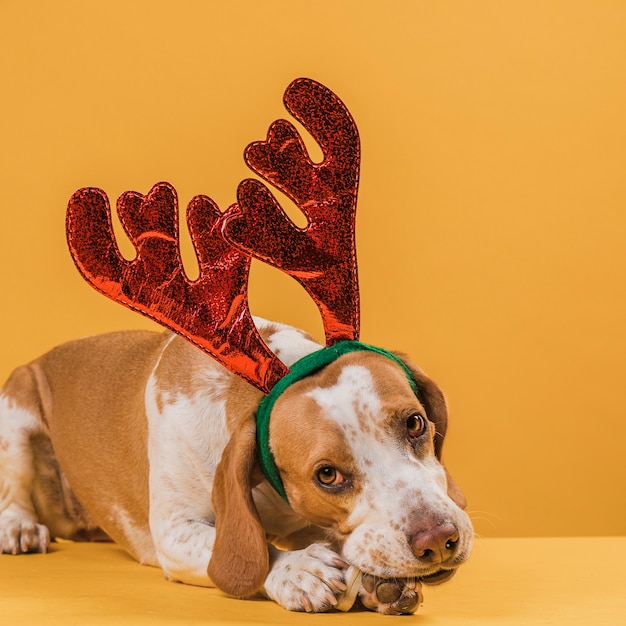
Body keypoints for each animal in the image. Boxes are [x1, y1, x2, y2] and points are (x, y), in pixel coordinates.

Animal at [0, 320, 470, 612]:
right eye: (327, 475)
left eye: (415, 423)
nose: (438, 540)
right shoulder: (174, 531)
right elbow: (246, 550)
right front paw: (297, 570)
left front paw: (377, 585)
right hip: (16, 415)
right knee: (14, 495)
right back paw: (19, 528)